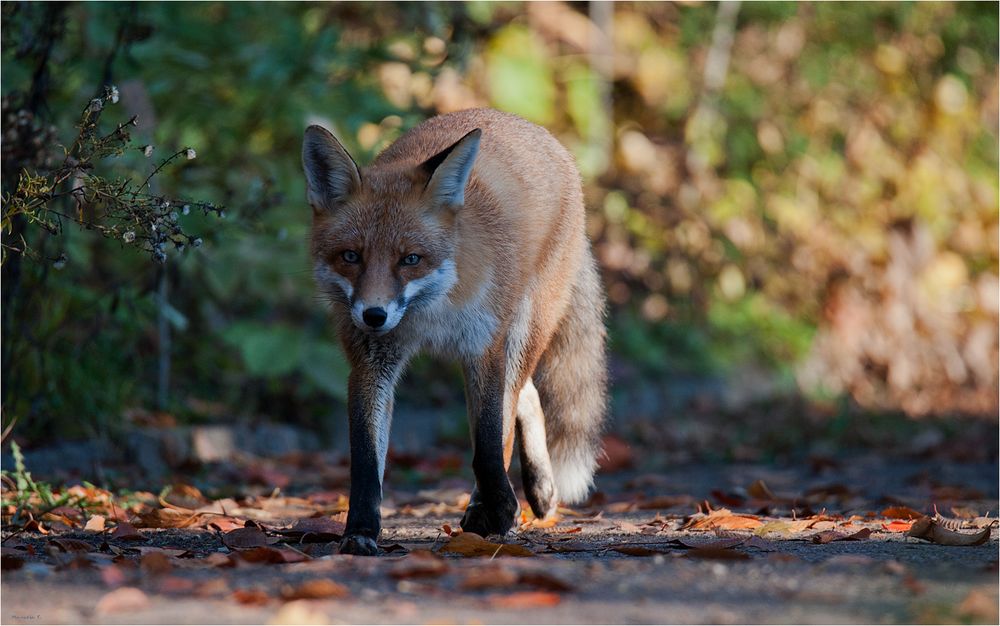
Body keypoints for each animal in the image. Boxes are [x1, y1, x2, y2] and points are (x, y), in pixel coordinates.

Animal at [300, 108, 604, 556]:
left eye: (411, 259)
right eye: (351, 256)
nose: (374, 315)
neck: (430, 314)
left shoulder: (484, 347)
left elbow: (489, 443)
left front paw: (499, 509)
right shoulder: (371, 363)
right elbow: (366, 462)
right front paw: (360, 531)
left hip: (523, 329)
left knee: (513, 406)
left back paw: (502, 504)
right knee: (528, 394)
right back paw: (536, 490)